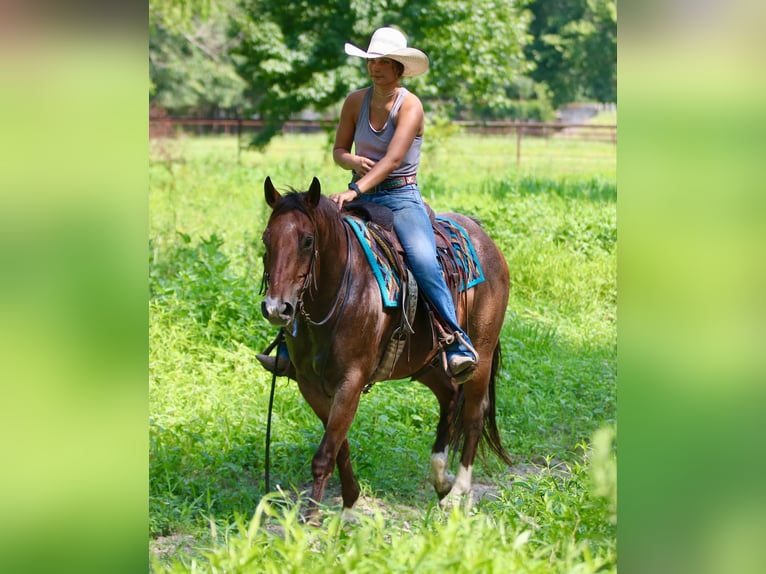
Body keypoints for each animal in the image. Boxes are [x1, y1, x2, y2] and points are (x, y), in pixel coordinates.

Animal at [259, 176, 511, 520]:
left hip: (481, 357)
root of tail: (483, 236)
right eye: (266, 239)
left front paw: (311, 520)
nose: (276, 308)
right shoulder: (310, 385)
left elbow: (325, 454)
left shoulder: (350, 381)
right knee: (449, 396)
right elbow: (339, 446)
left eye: (308, 241)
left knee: (473, 415)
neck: (339, 292)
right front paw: (350, 503)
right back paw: (441, 479)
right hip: (425, 363)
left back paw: (458, 492)